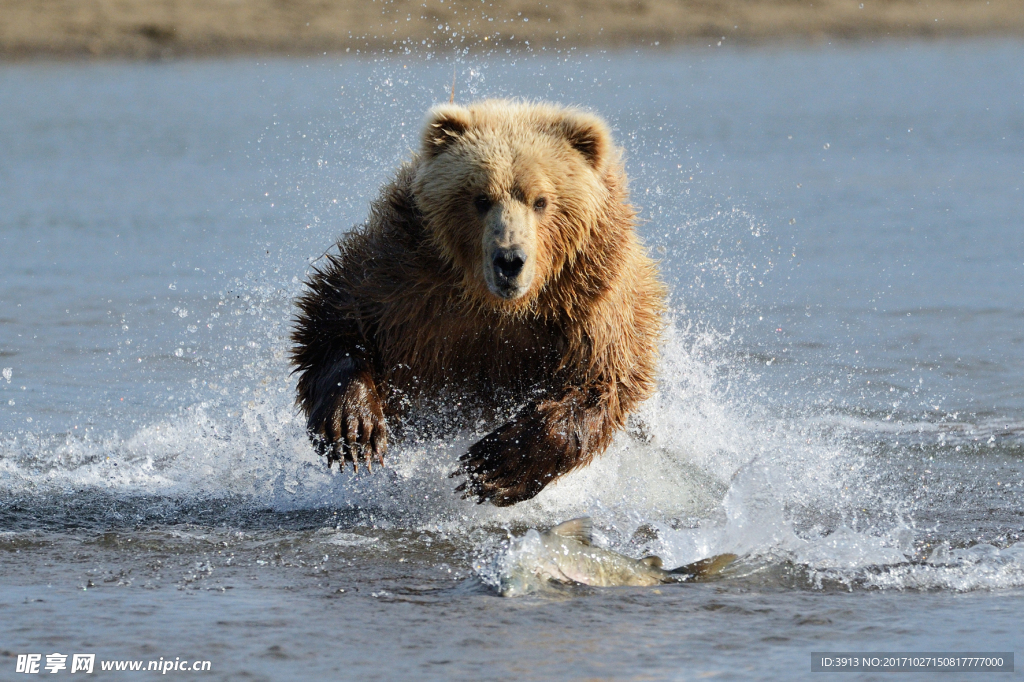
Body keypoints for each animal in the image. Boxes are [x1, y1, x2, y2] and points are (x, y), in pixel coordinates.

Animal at [292, 100, 667, 503]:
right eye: (481, 198)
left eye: (541, 200)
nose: (510, 260)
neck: (497, 304)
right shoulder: (407, 276)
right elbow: (338, 315)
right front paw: (353, 428)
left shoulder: (589, 301)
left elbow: (599, 380)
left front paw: (493, 465)